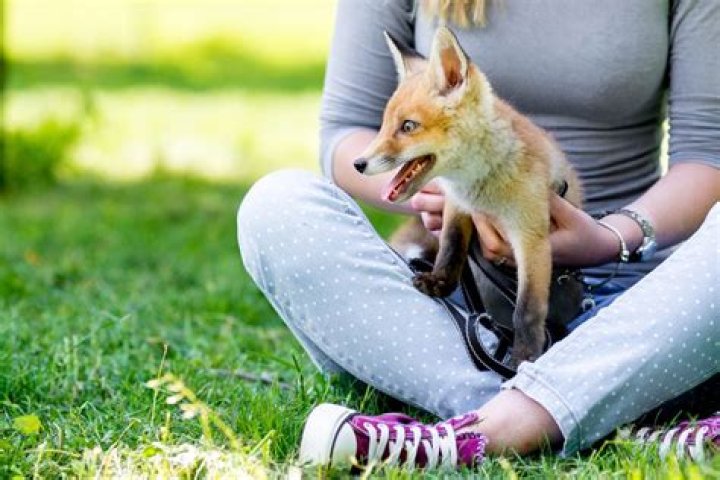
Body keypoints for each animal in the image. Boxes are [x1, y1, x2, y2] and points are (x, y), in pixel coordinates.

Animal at [353, 27, 582, 365]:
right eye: (383, 126)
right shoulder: (457, 207)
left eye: (408, 126)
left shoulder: (531, 236)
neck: (479, 186)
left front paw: (524, 358)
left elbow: (526, 309)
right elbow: (450, 248)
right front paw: (439, 283)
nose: (358, 164)